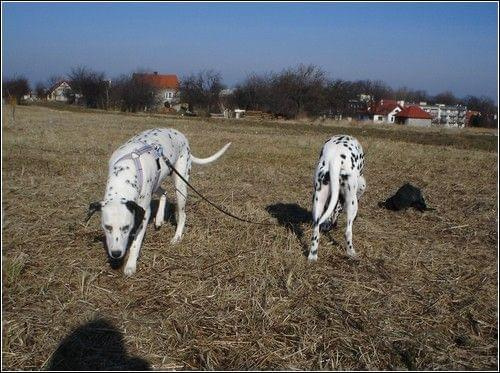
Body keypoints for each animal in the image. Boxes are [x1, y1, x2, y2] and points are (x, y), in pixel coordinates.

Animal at [87, 128, 231, 276]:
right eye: (107, 227)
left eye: (126, 227)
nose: (116, 253)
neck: (124, 176)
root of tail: (180, 134)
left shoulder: (144, 212)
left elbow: (136, 243)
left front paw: (130, 265)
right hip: (157, 184)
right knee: (164, 192)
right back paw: (160, 218)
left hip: (180, 185)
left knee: (182, 214)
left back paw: (177, 237)